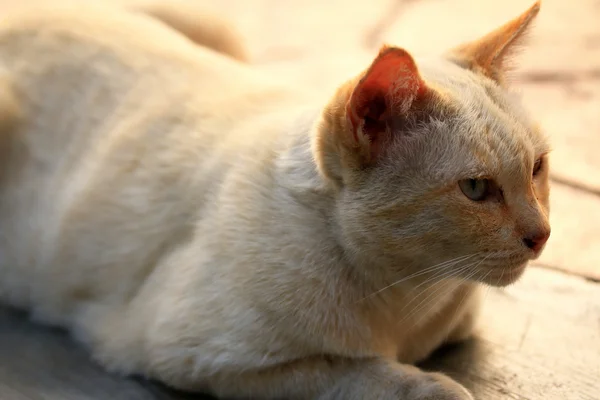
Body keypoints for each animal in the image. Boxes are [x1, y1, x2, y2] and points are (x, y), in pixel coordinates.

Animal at [0, 1, 552, 398]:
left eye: (537, 169)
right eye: (476, 189)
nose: (542, 236)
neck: (413, 297)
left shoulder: (460, 322)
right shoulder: (202, 355)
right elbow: (361, 373)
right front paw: (432, 385)